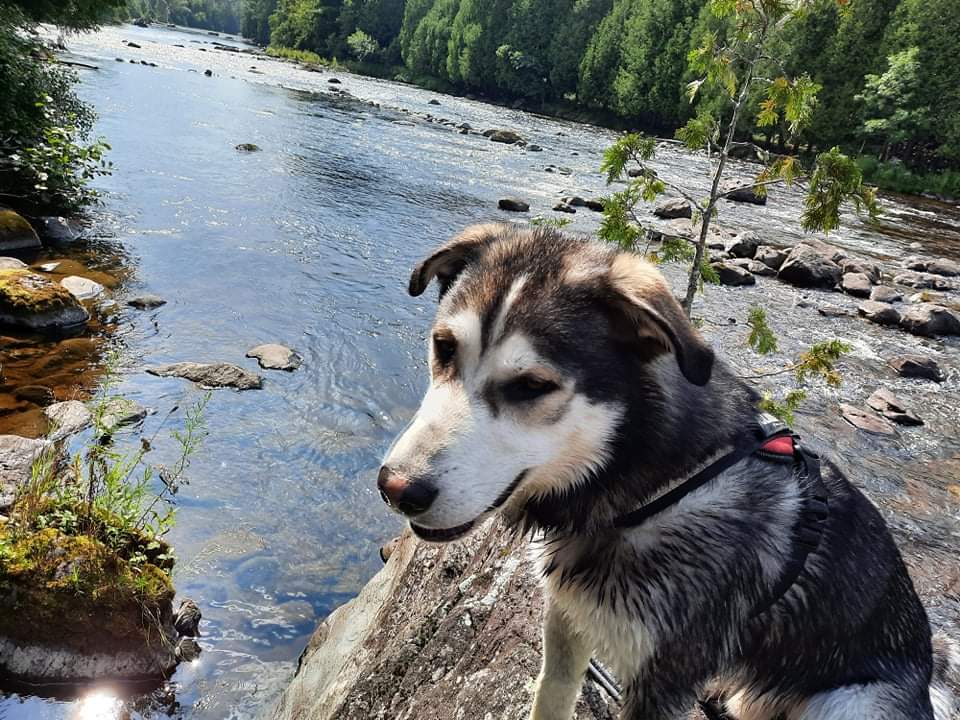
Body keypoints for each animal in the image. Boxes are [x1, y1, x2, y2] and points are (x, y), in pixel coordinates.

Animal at [377, 223, 958, 719]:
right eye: (444, 347)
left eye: (532, 386)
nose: (394, 489)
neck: (653, 489)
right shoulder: (567, 618)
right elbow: (552, 693)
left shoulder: (664, 677)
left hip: (849, 702)